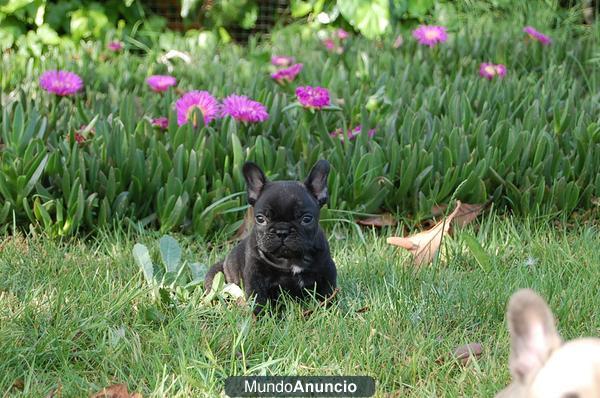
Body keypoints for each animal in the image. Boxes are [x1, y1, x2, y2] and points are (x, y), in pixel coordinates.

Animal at [205, 159, 338, 314]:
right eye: (260, 219)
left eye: (307, 219)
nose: (282, 231)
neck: (289, 259)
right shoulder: (255, 276)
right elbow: (258, 298)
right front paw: (260, 315)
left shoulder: (327, 270)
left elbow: (328, 292)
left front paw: (330, 309)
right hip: (215, 275)